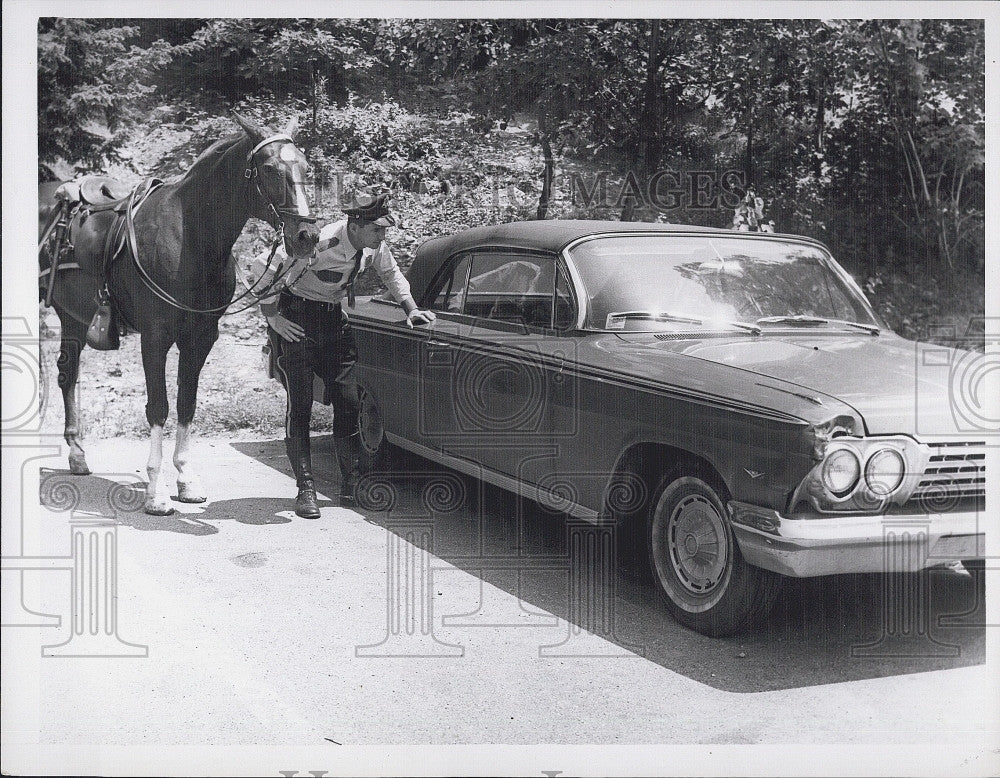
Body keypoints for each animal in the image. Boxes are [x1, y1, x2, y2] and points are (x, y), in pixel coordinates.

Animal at [39, 112, 318, 512]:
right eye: (268, 168)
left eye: (306, 167)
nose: (307, 237)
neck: (192, 240)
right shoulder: (155, 338)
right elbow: (159, 407)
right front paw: (155, 494)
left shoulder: (200, 338)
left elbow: (187, 404)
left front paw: (186, 480)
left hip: (73, 318)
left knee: (68, 374)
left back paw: (77, 455)